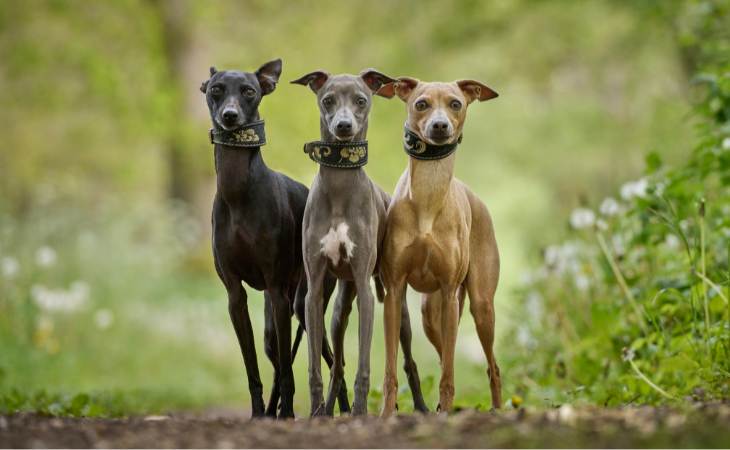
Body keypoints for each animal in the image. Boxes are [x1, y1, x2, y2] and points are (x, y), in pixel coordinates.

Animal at [198, 59, 348, 418]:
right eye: (215, 89)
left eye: (250, 91)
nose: (230, 116)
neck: (237, 191)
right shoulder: (235, 295)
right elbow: (255, 368)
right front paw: (258, 413)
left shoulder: (279, 293)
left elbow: (291, 370)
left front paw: (287, 413)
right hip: (277, 316)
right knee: (280, 360)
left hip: (304, 303)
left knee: (331, 361)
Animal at [288, 68, 426, 416]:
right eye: (327, 100)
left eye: (361, 100)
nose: (343, 126)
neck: (339, 186)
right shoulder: (313, 291)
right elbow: (315, 366)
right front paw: (316, 412)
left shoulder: (365, 287)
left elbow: (364, 365)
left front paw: (361, 410)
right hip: (340, 308)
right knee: (337, 364)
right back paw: (333, 409)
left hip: (399, 311)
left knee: (409, 362)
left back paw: (420, 406)